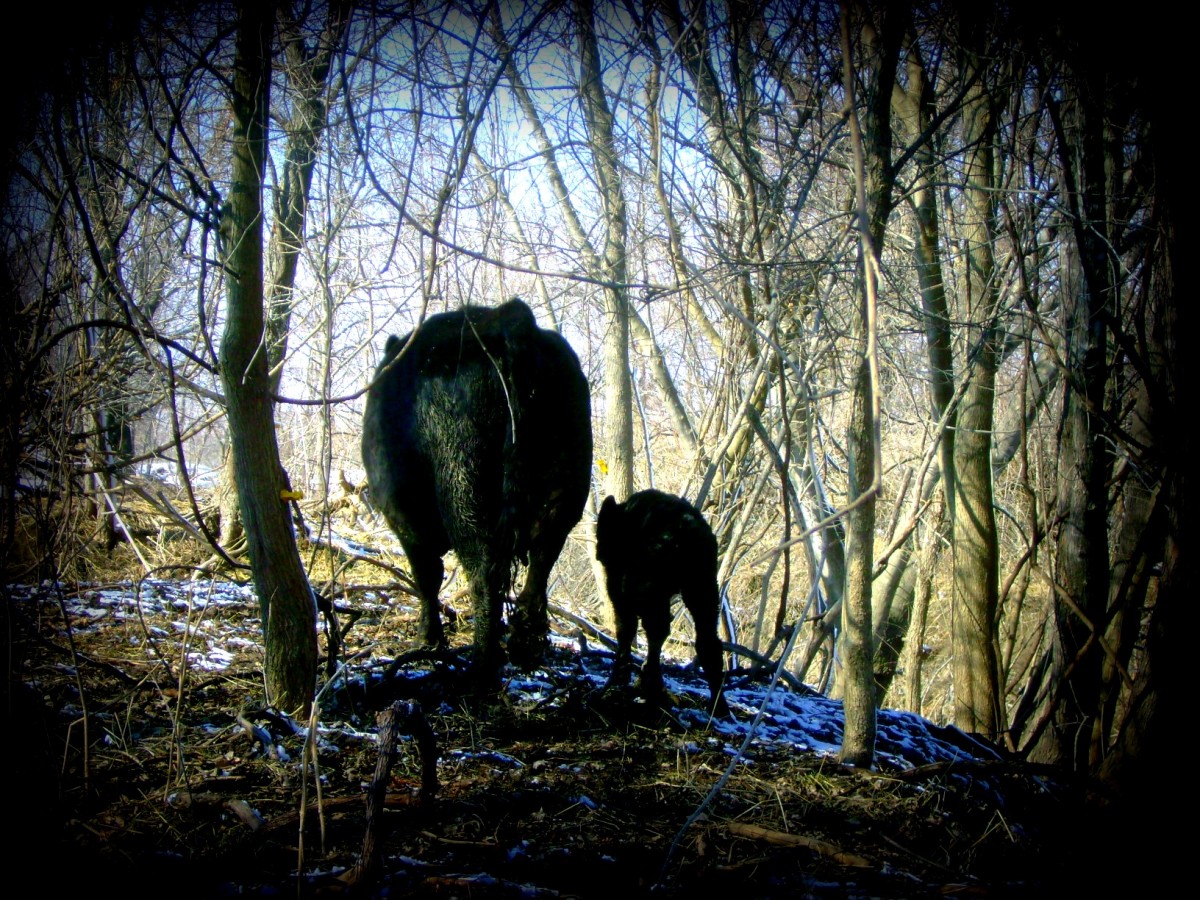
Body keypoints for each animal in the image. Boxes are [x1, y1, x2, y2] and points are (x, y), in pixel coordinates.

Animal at [362, 301, 592, 676]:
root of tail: (508, 316)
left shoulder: (404, 519)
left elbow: (426, 576)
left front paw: (428, 641)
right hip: (564, 488)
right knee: (541, 563)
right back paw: (524, 646)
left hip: (463, 485)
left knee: (483, 572)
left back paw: (482, 663)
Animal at [592, 494, 724, 720]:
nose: (600, 553)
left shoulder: (621, 589)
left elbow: (625, 630)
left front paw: (619, 677)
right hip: (702, 587)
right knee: (707, 640)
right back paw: (719, 705)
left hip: (651, 589)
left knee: (655, 628)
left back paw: (651, 684)